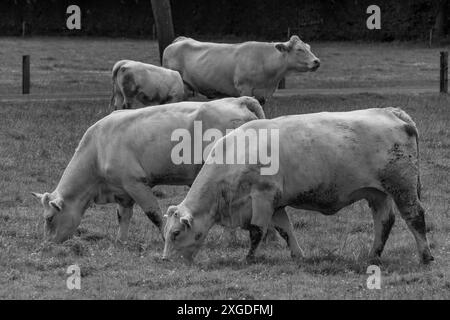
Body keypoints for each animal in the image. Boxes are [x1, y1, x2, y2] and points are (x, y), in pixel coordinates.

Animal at [33, 97, 266, 242]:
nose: (47, 244)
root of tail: (238, 100)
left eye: (49, 218)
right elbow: (123, 216)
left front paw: (165, 236)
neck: (98, 149)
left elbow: (153, 214)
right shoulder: (122, 191)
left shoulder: (136, 184)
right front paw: (121, 241)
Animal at [162, 35, 320, 104]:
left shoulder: (262, 95)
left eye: (309, 47)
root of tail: (181, 40)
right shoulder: (245, 88)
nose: (317, 61)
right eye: (299, 49)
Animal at [165, 106, 436, 264]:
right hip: (378, 193)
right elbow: (286, 230)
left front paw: (249, 258)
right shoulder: (276, 204)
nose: (166, 260)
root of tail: (392, 112)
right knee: (384, 222)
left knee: (415, 217)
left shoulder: (262, 196)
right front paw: (298, 255)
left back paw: (425, 256)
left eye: (176, 233)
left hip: (402, 187)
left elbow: (256, 231)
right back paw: (373, 256)